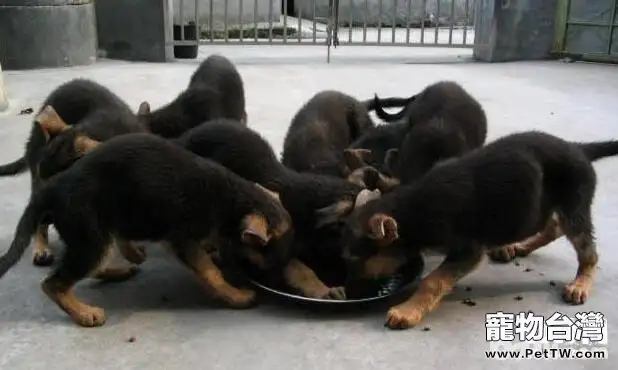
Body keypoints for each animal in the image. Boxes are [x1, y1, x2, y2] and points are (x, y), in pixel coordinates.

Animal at [0, 132, 292, 326]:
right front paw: (236, 295)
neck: (233, 198)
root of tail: (54, 186)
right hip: (92, 237)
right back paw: (84, 313)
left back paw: (120, 269)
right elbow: (211, 272)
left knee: (95, 262)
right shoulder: (183, 239)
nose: (280, 277)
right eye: (267, 248)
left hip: (100, 232)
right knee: (54, 283)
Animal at [322, 131, 616, 330]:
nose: (349, 293)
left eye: (355, 261)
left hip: (572, 205)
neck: (414, 208)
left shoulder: (468, 251)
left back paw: (580, 283)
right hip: (533, 209)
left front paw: (408, 311)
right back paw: (519, 247)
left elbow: (433, 280)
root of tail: (578, 148)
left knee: (587, 250)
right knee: (552, 226)